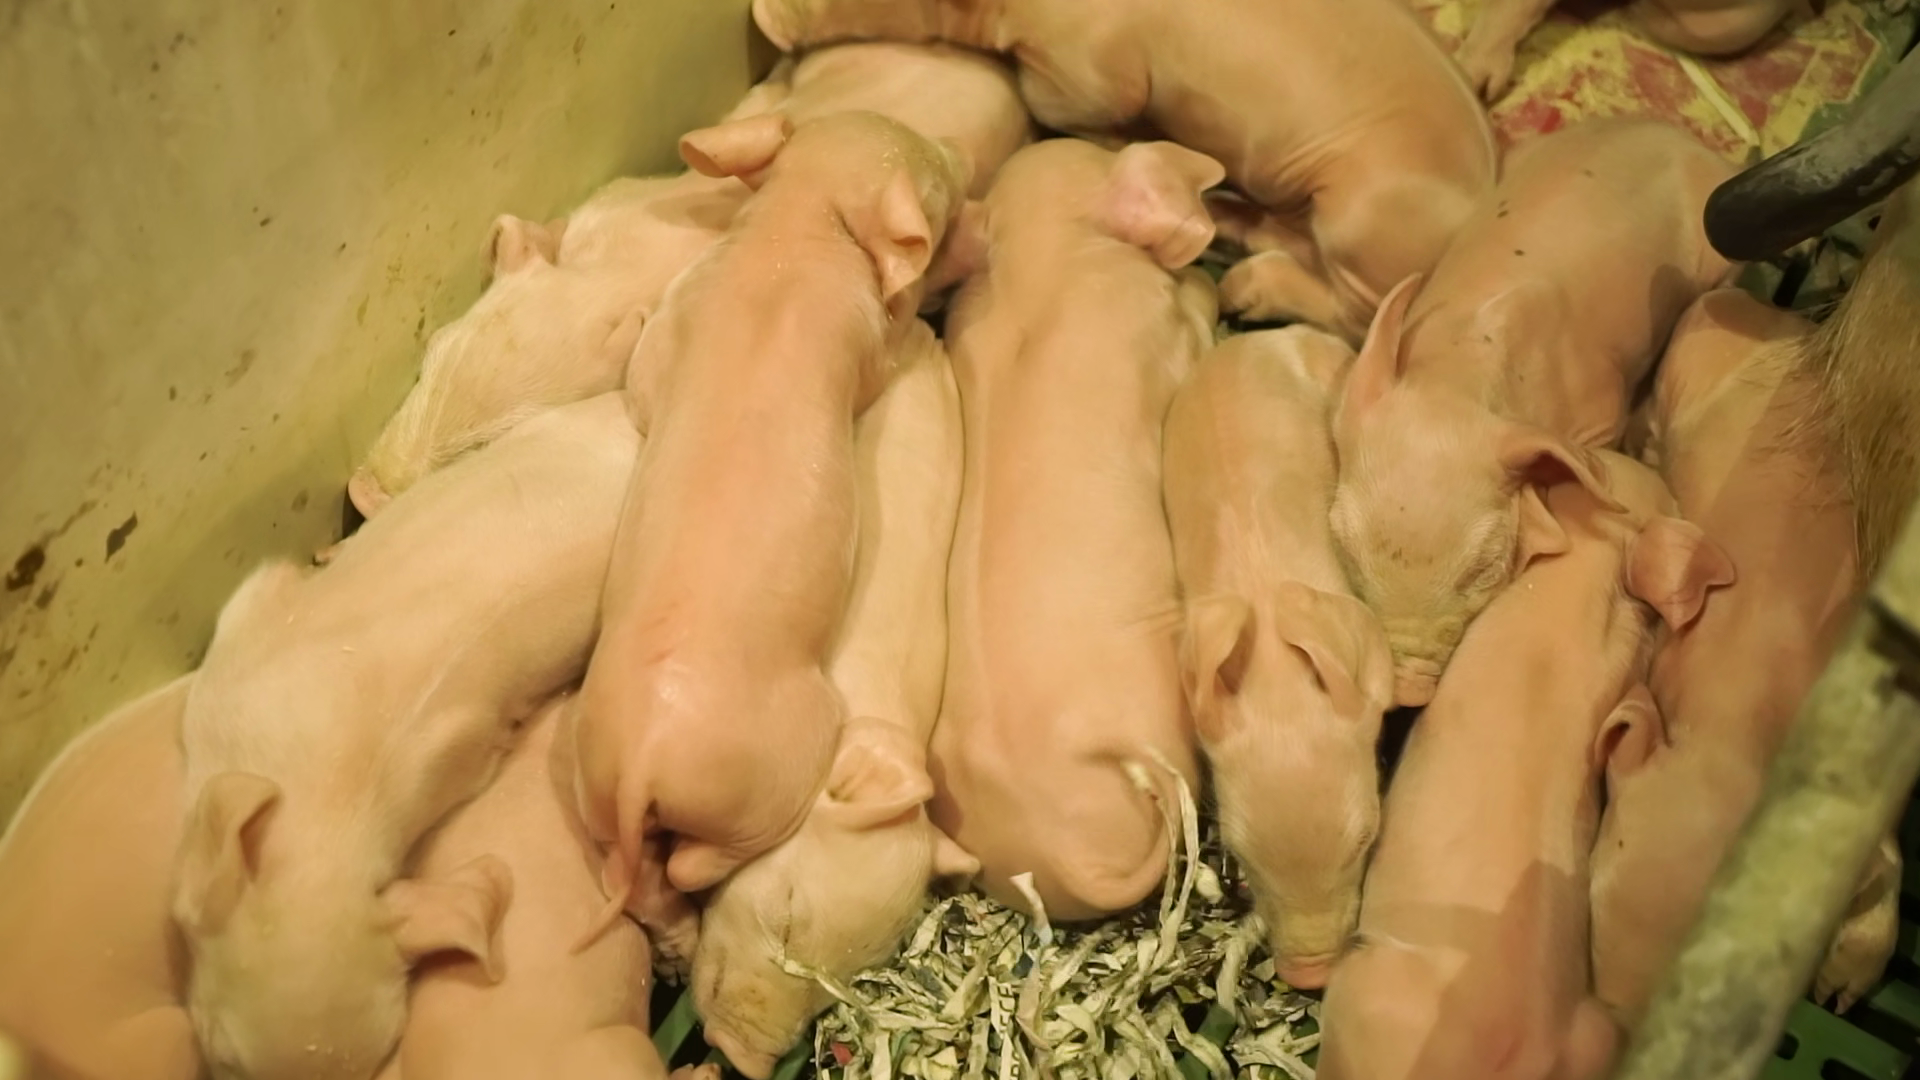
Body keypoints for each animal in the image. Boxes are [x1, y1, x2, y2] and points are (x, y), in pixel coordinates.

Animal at [572, 111, 974, 946]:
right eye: (934, 176)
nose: (961, 150)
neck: (794, 227)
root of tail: (641, 765)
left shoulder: (682, 307)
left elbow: (643, 382)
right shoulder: (863, 334)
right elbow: (887, 351)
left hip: (589, 778)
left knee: (637, 875)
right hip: (786, 761)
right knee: (697, 862)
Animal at [750, 0, 1496, 343]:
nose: (762, 15)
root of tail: (1482, 204)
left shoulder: (1088, 77)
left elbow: (1068, 107)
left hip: (1364, 214)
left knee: (1354, 312)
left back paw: (1246, 289)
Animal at [1328, 120, 1736, 706]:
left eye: (1481, 568)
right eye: (1344, 545)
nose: (1405, 690)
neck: (1457, 382)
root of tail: (1682, 136)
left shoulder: (1602, 405)